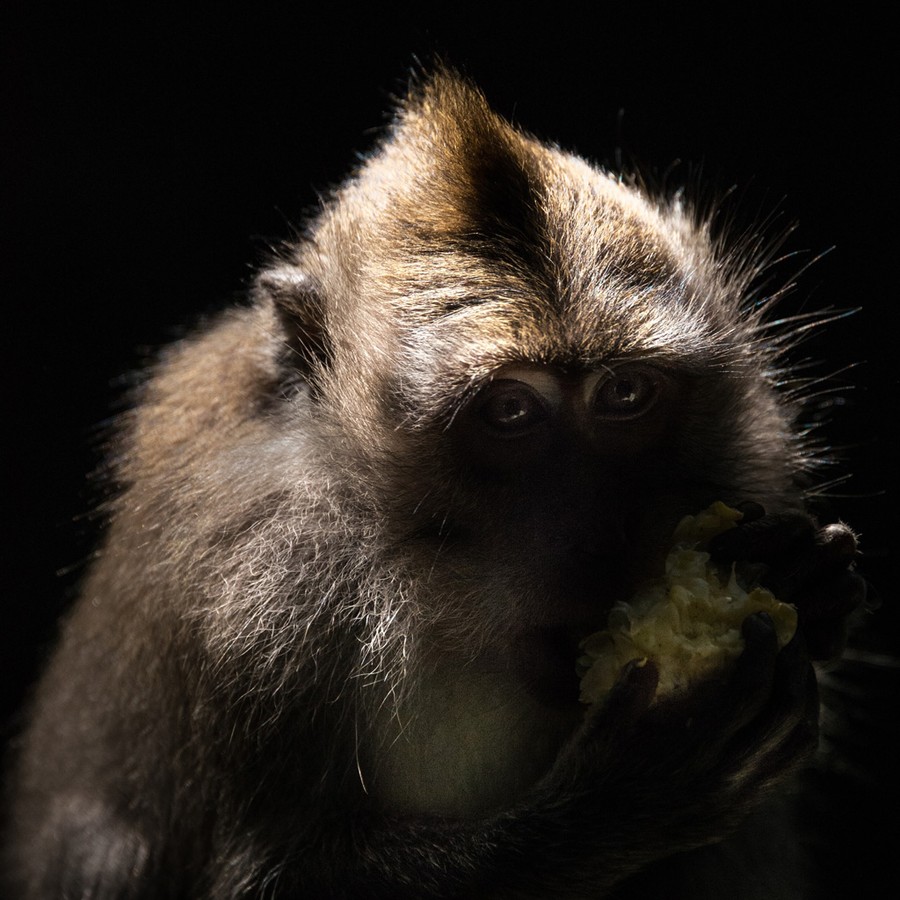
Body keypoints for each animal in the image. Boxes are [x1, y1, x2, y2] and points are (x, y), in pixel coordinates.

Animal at [3, 67, 868, 896]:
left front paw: (805, 578)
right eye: (510, 411)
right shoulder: (257, 601)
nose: (599, 533)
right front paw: (622, 801)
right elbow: (261, 878)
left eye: (623, 393)